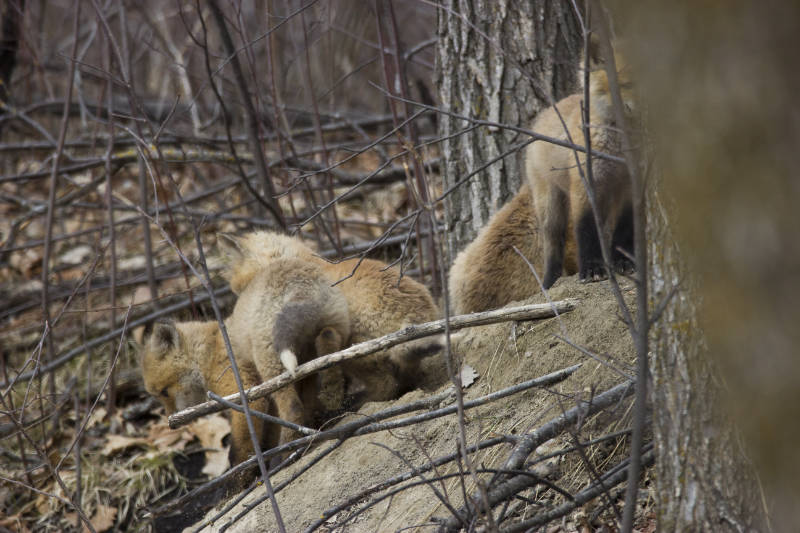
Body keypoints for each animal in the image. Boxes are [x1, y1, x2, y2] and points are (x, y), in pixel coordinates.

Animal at [140, 257, 350, 464]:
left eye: (163, 392)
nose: (171, 423)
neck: (208, 352)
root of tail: (297, 279)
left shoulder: (244, 391)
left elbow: (240, 448)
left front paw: (244, 471)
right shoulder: (267, 402)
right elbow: (269, 433)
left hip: (270, 365)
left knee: (293, 409)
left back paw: (285, 455)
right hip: (327, 336)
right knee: (328, 346)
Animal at [219, 231, 442, 404]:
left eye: (239, 287)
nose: (240, 311)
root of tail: (417, 315)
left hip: (352, 353)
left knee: (386, 386)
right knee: (405, 379)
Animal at [525, 39, 635, 289]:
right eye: (625, 83)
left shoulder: (628, 186)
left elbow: (624, 230)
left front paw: (623, 262)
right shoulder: (585, 186)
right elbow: (585, 231)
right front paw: (592, 269)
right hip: (550, 207)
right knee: (553, 245)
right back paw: (550, 281)